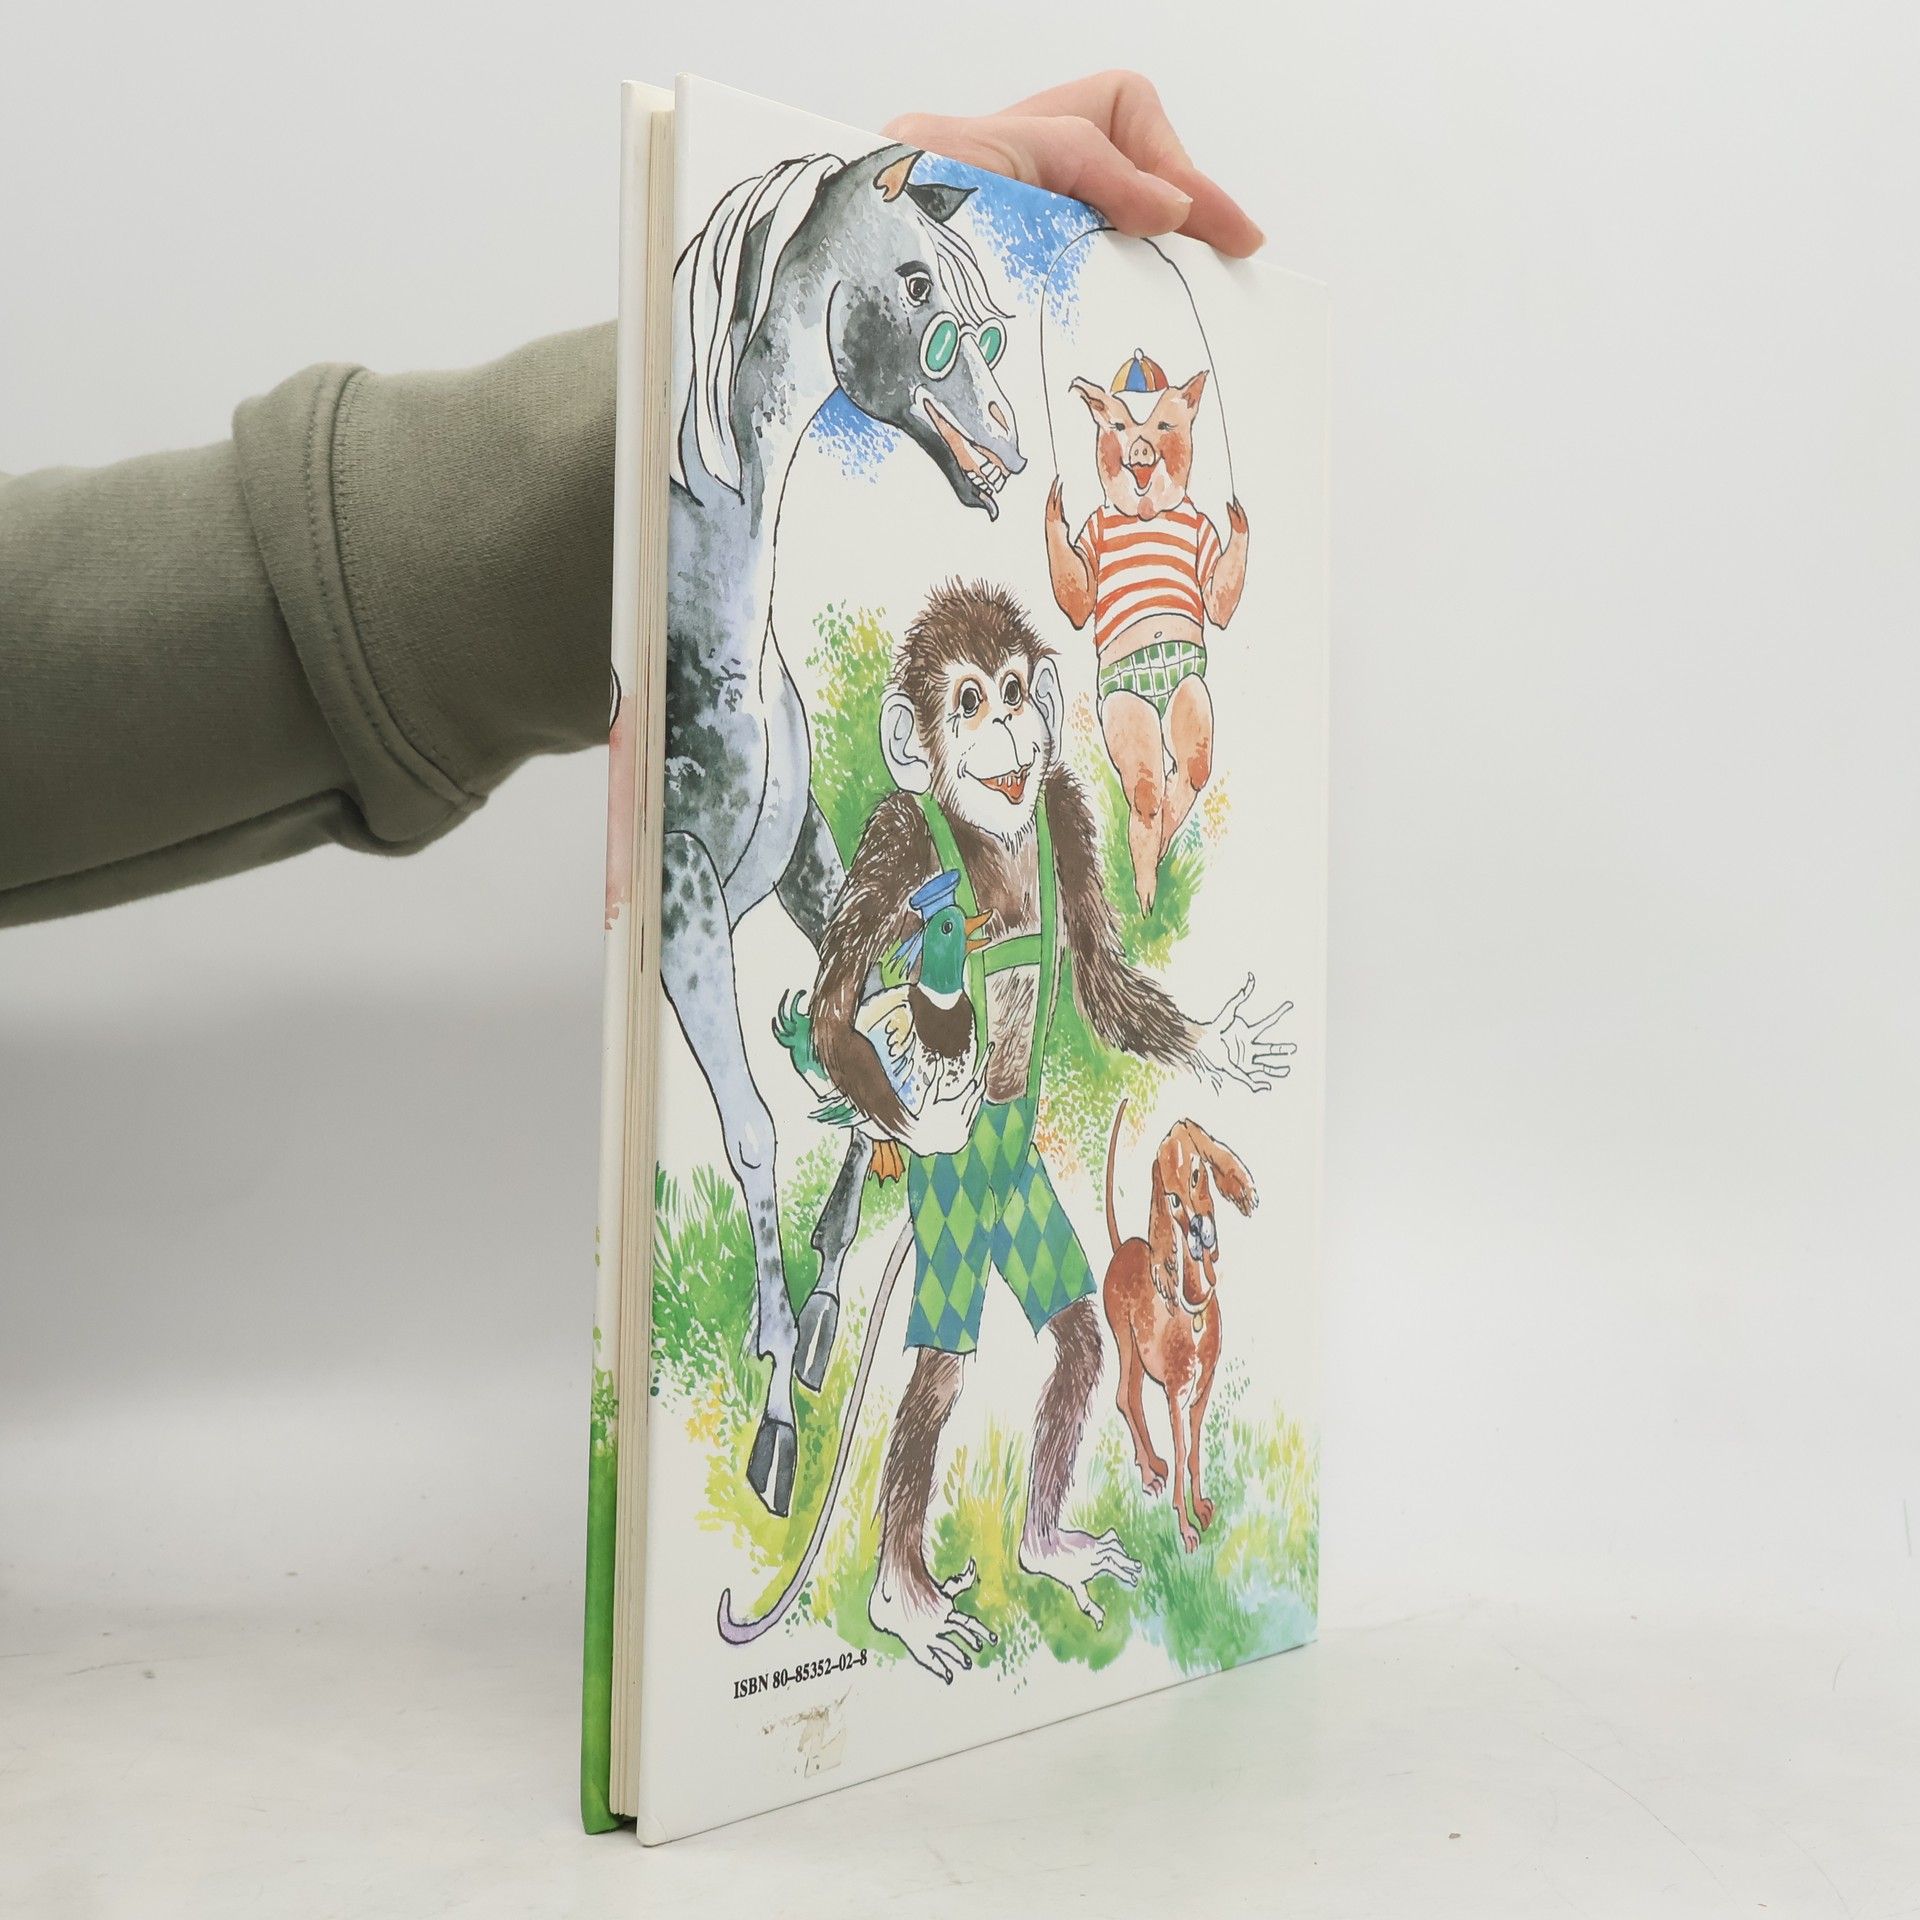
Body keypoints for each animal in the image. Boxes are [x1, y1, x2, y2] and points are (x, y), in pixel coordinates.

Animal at [661, 143, 1025, 1516]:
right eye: (915, 285)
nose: (1009, 439)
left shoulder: (812, 861)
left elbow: (867, 1029)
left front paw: (815, 1319)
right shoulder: (685, 900)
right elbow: (756, 1129)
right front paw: (776, 1403)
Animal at [1100, 1100, 1259, 1552]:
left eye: (1197, 1174)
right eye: (1170, 1199)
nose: (1197, 1231)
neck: (1195, 1310)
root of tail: (1121, 1249)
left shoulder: (1201, 1393)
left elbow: (1193, 1453)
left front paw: (1201, 1506)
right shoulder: (1175, 1397)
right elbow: (1181, 1445)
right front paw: (1185, 1528)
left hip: (1138, 1358)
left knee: (1132, 1397)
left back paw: (1151, 1463)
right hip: (1124, 1342)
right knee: (1122, 1396)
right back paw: (1150, 1473)